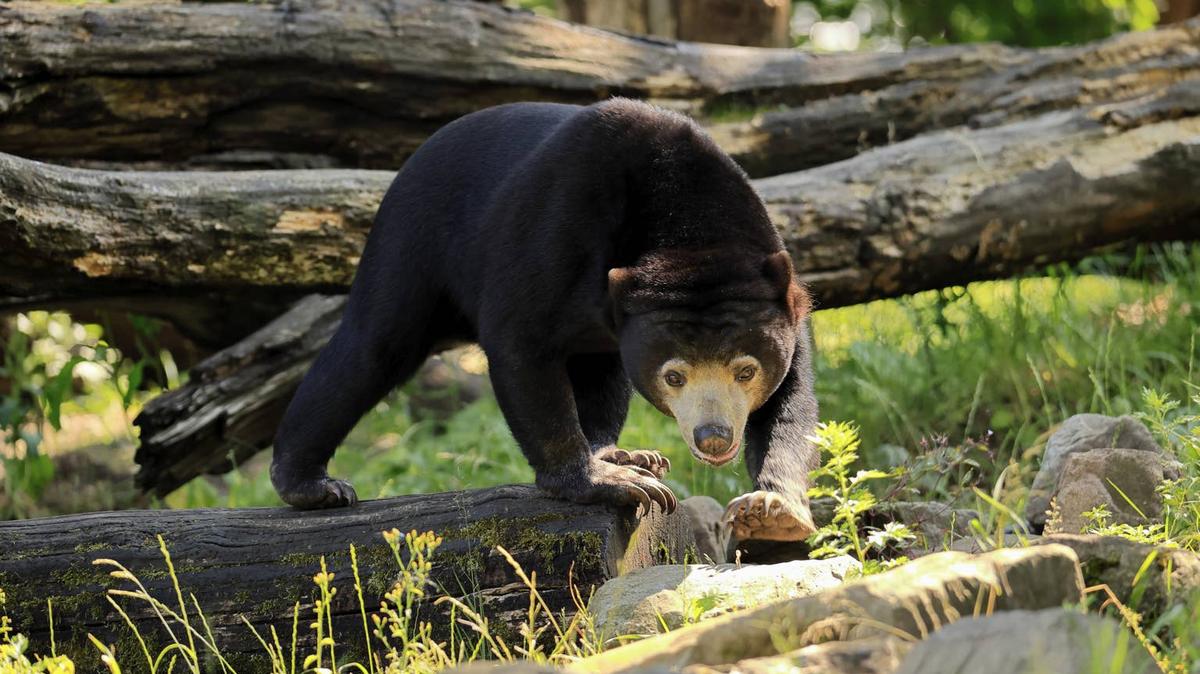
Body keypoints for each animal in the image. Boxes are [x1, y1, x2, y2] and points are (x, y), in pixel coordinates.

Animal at [270, 98, 819, 542]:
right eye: (674, 376)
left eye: (745, 370)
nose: (713, 437)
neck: (685, 231)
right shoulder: (558, 225)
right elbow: (520, 341)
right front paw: (607, 485)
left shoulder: (777, 292)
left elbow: (791, 394)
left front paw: (772, 508)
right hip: (411, 243)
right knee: (371, 349)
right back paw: (310, 485)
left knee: (602, 369)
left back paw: (621, 453)